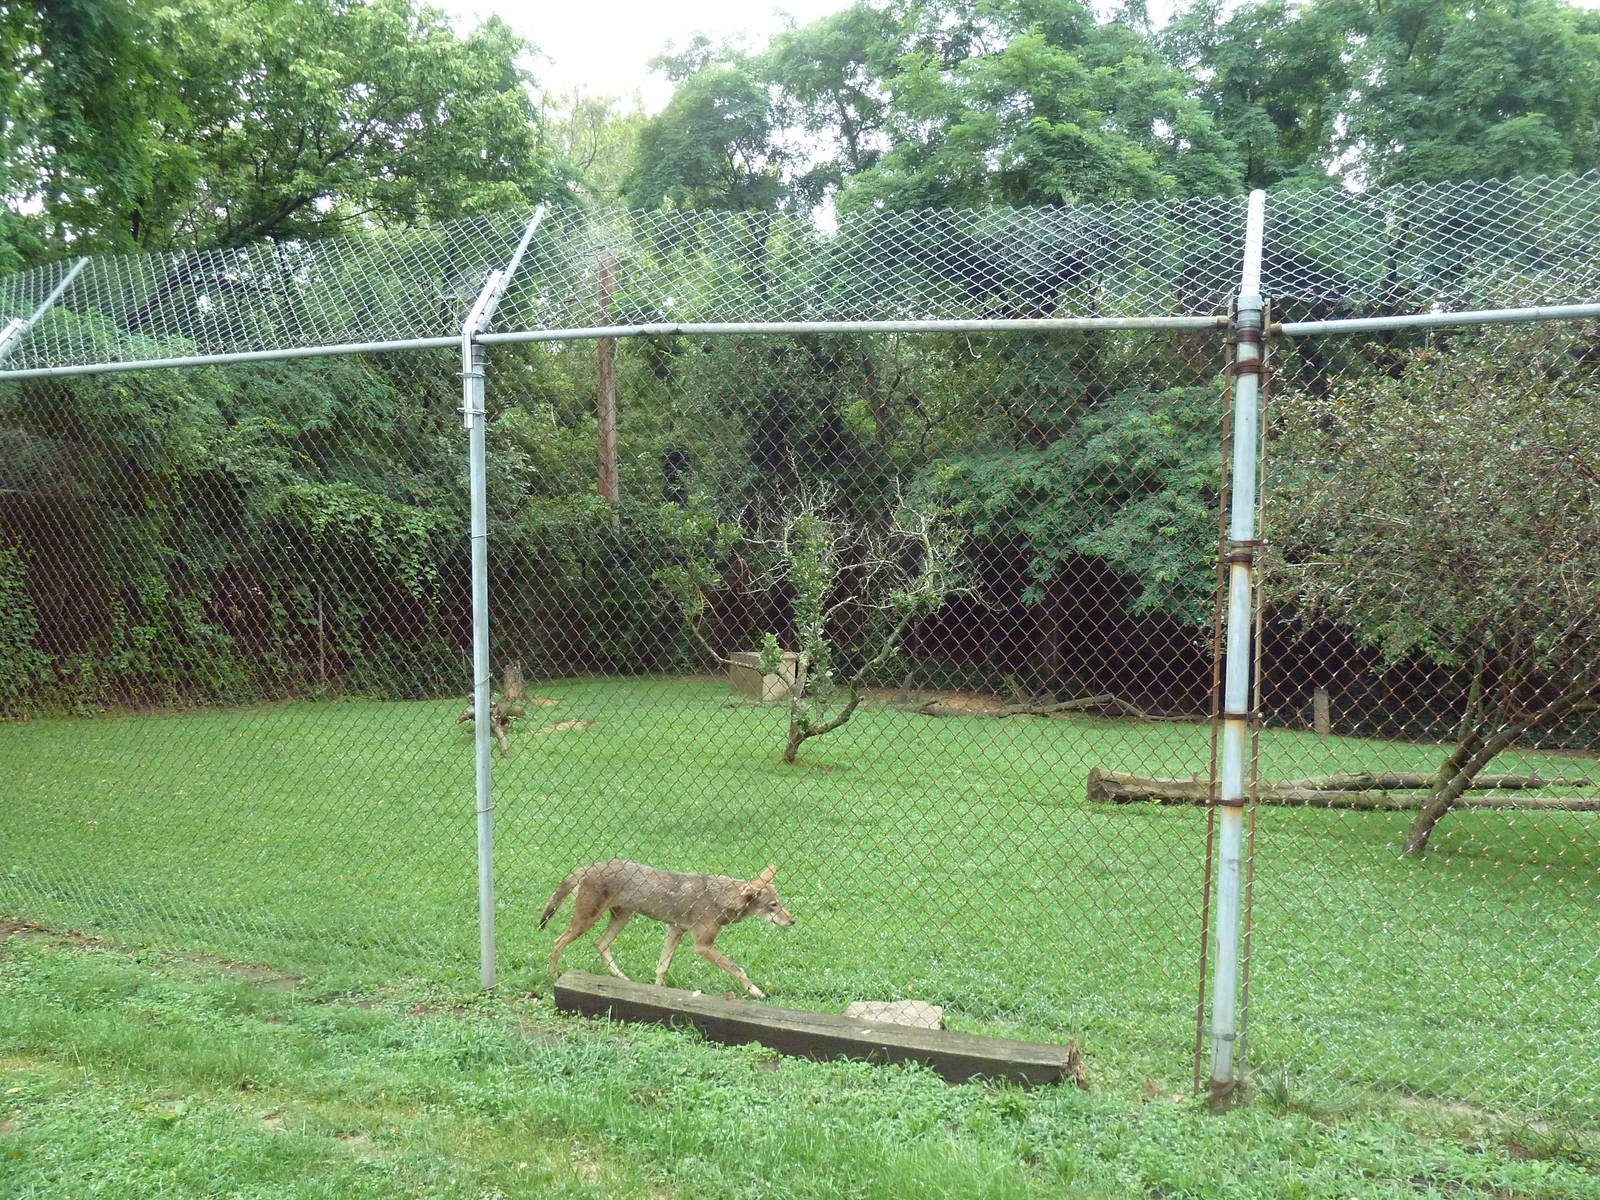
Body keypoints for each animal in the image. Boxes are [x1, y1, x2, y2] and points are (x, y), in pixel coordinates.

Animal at [541, 860, 794, 998]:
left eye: (781, 903)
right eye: (773, 905)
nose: (792, 922)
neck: (721, 898)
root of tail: (588, 866)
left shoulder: (675, 930)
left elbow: (662, 968)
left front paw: (658, 992)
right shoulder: (702, 946)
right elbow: (738, 969)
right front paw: (755, 991)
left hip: (622, 918)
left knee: (600, 943)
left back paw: (622, 978)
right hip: (586, 923)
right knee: (557, 942)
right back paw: (552, 976)